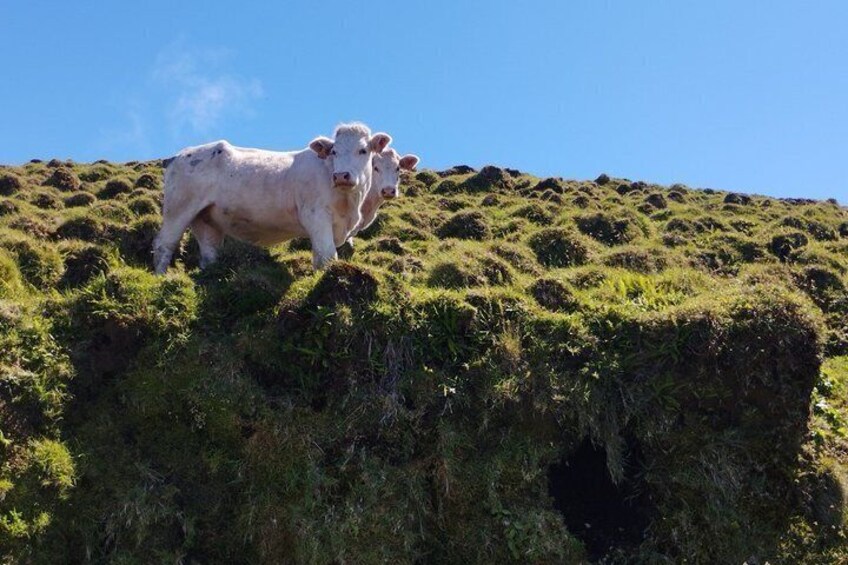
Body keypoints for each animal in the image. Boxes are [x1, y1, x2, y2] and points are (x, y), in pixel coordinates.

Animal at [152, 123, 391, 274]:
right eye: (334, 151)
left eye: (363, 150)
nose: (341, 175)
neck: (350, 208)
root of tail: (179, 155)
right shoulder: (316, 216)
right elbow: (326, 256)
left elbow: (319, 258)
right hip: (178, 209)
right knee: (164, 245)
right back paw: (160, 276)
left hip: (205, 219)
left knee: (209, 252)